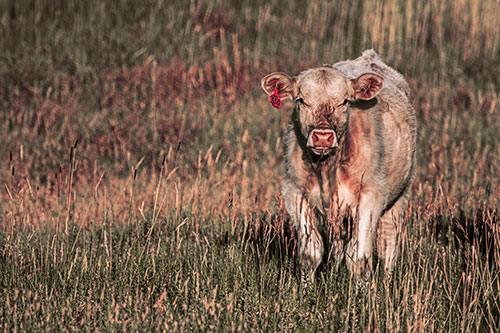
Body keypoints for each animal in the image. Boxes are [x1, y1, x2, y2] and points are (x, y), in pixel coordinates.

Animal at [260, 49, 416, 282]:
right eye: (301, 100)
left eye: (344, 101)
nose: (323, 137)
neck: (326, 169)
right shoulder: (296, 193)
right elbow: (310, 253)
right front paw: (306, 288)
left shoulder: (371, 195)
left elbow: (360, 257)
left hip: (400, 194)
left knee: (388, 242)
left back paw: (388, 281)